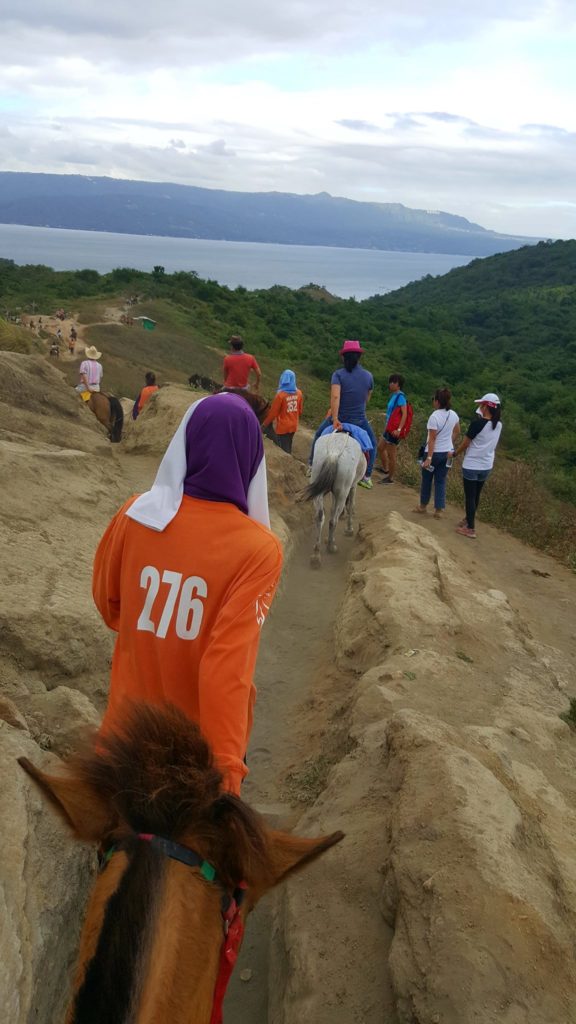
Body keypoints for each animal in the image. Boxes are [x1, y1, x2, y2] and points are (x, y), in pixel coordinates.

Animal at [301, 430, 362, 569]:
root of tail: (334, 453)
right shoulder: (353, 486)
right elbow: (351, 505)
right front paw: (349, 529)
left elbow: (332, 508)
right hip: (342, 491)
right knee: (333, 520)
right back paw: (331, 547)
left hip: (318, 485)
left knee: (320, 516)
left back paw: (316, 554)